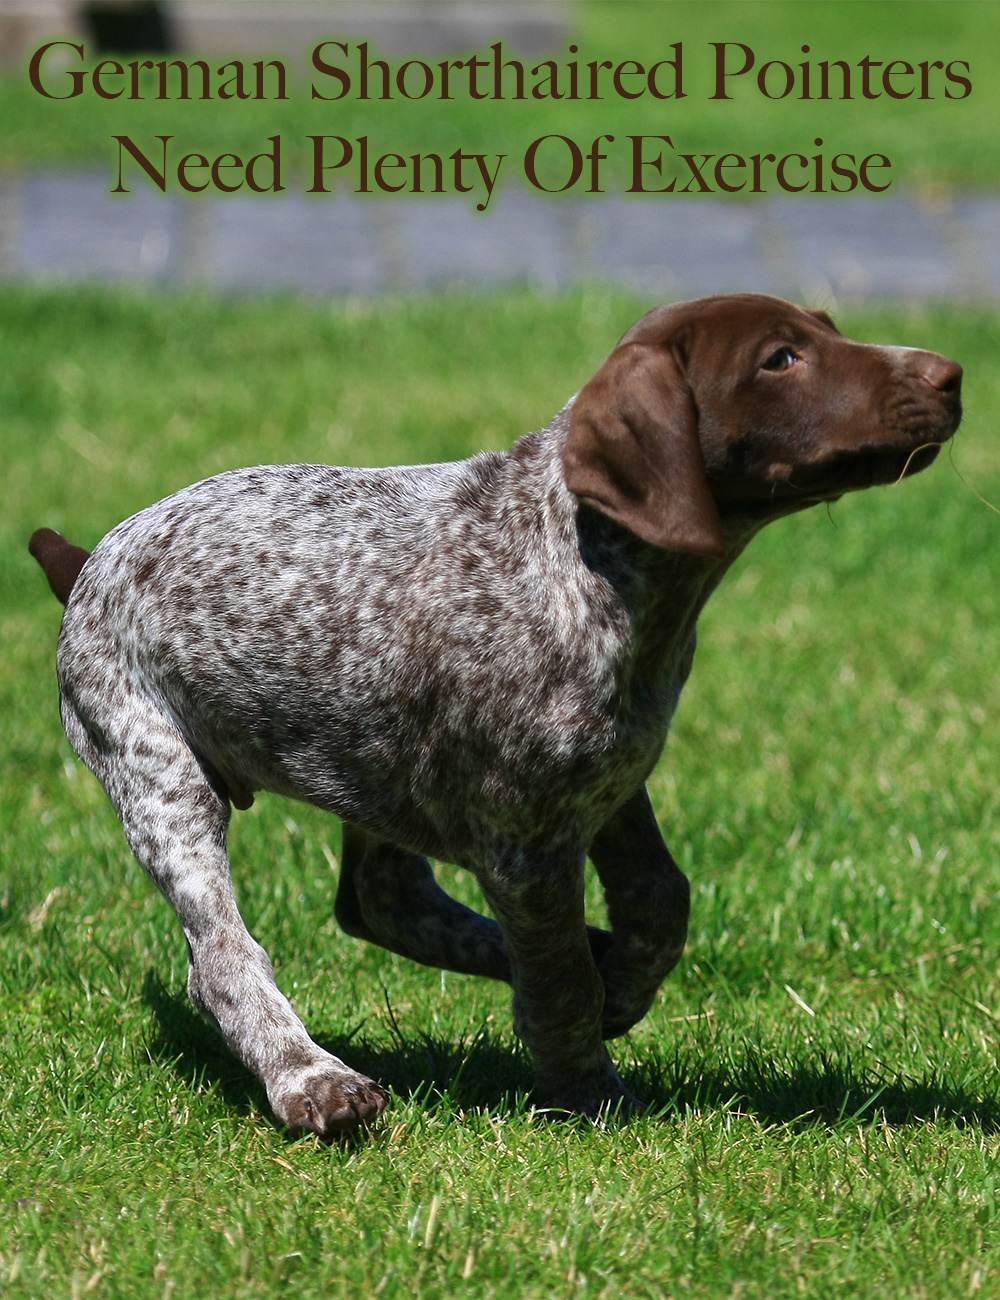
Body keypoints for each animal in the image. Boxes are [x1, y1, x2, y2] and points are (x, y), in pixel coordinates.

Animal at [27, 297, 957, 1138]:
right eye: (780, 359)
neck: (586, 559)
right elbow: (562, 973)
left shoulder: (608, 782)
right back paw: (312, 1080)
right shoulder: (526, 841)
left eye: (828, 330)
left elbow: (660, 899)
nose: (947, 374)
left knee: (379, 899)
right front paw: (587, 1090)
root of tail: (91, 559)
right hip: (158, 770)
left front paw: (618, 982)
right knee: (222, 954)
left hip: (370, 763)